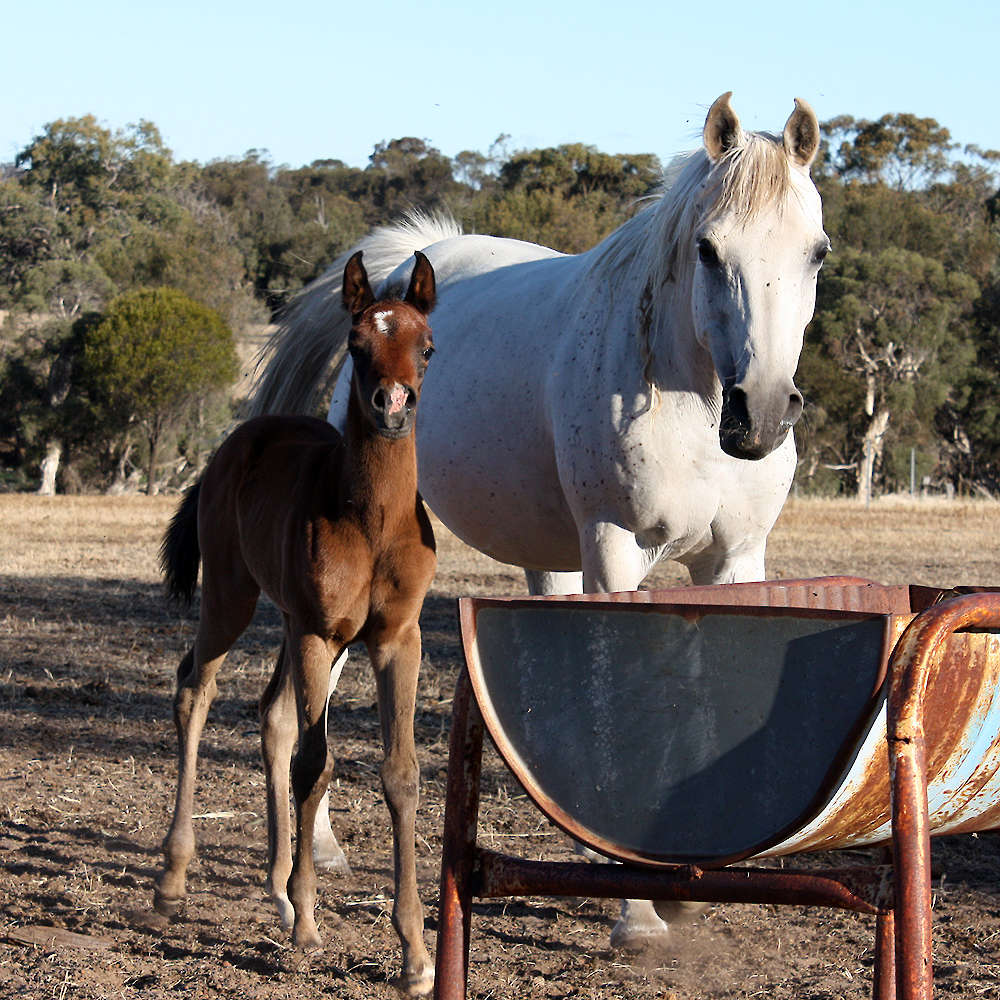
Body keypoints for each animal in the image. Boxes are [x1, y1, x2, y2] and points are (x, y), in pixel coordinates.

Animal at [154, 251, 439, 996]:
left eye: (427, 346)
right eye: (356, 344)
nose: (393, 407)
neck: (371, 521)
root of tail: (236, 442)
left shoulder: (397, 640)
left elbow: (400, 772)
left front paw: (416, 954)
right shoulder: (322, 633)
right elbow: (317, 762)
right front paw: (311, 925)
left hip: (288, 620)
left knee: (272, 714)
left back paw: (277, 890)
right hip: (235, 597)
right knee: (195, 689)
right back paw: (174, 877)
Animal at [249, 93, 828, 947]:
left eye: (817, 252)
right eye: (708, 248)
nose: (758, 414)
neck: (684, 394)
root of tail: (392, 274)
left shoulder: (735, 561)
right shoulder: (616, 551)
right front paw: (638, 916)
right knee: (298, 710)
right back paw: (307, 868)